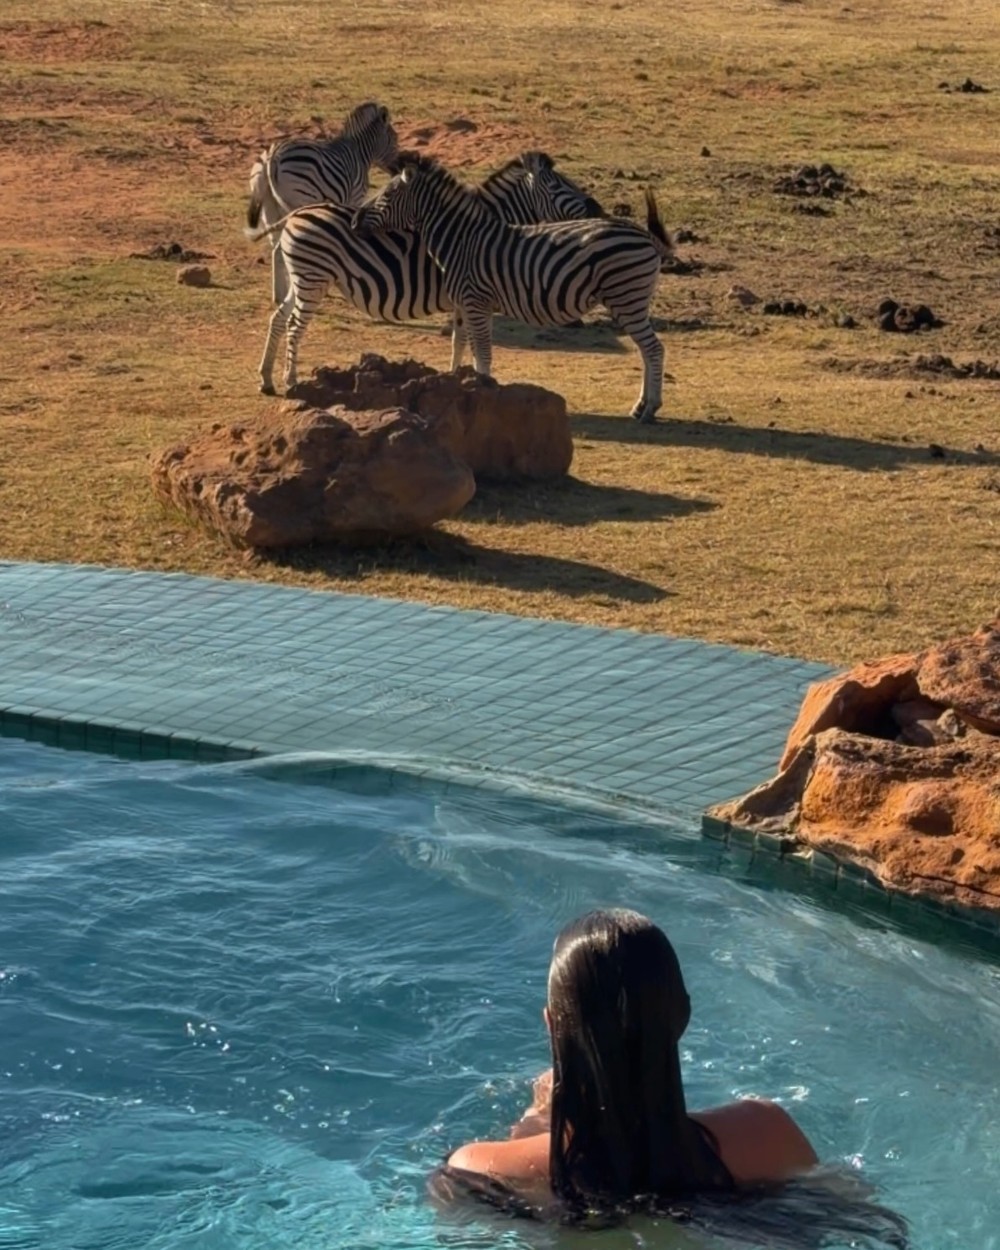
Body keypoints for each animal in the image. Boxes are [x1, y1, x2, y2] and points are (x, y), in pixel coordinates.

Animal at [246, 100, 399, 235]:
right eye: (395, 139)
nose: (399, 168)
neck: (359, 152)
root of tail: (273, 155)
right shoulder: (356, 197)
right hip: (302, 196)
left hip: (265, 201)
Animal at [249, 151, 606, 396]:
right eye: (558, 185)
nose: (597, 208)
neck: (475, 231)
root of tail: (297, 213)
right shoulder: (473, 295)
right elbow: (471, 342)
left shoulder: (464, 298)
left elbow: (460, 340)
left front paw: (454, 380)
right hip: (313, 279)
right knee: (295, 325)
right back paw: (291, 380)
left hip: (303, 279)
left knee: (278, 318)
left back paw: (266, 378)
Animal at [352, 155, 673, 422]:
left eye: (387, 194)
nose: (354, 220)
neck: (461, 239)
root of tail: (646, 236)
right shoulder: (468, 304)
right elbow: (467, 348)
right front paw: (465, 386)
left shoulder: (476, 302)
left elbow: (483, 354)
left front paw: (483, 397)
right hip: (631, 301)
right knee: (646, 350)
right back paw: (640, 406)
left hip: (627, 298)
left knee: (653, 349)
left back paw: (650, 409)